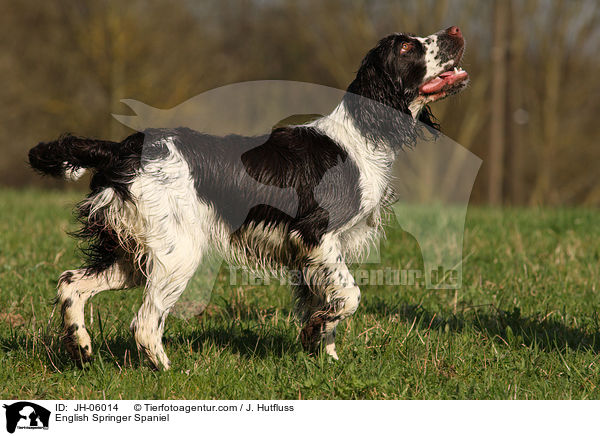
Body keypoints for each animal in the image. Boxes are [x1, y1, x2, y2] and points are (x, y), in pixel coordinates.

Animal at [28, 26, 468, 368]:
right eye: (407, 47)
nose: (456, 31)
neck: (361, 136)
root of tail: (122, 150)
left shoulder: (311, 256)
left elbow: (324, 304)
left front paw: (324, 357)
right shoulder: (317, 236)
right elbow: (349, 297)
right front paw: (316, 333)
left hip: (131, 253)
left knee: (70, 283)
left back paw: (81, 348)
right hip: (178, 252)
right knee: (145, 323)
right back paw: (169, 372)